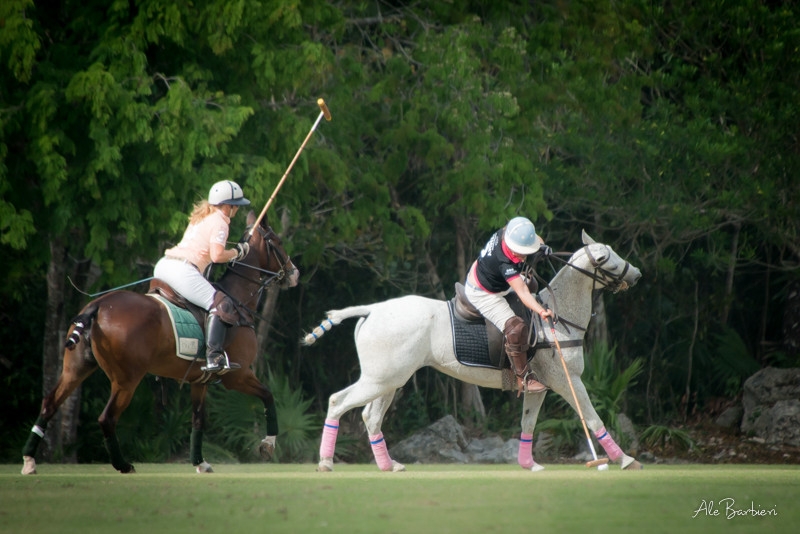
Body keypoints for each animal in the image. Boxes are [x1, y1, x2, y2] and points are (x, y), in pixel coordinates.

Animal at [21, 211, 299, 475]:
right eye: (277, 242)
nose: (294, 272)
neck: (239, 301)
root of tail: (96, 306)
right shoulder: (238, 375)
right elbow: (268, 396)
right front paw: (268, 445)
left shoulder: (200, 381)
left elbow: (198, 420)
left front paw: (200, 462)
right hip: (127, 379)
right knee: (106, 418)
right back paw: (123, 465)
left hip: (76, 368)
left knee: (49, 404)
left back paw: (29, 461)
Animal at [302, 230, 643, 472]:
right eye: (608, 258)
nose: (637, 274)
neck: (557, 317)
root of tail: (370, 310)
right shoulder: (567, 379)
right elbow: (593, 418)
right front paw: (626, 460)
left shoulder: (540, 386)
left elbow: (528, 423)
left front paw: (528, 464)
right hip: (381, 378)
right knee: (338, 402)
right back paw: (326, 462)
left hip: (389, 379)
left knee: (371, 416)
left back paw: (389, 466)